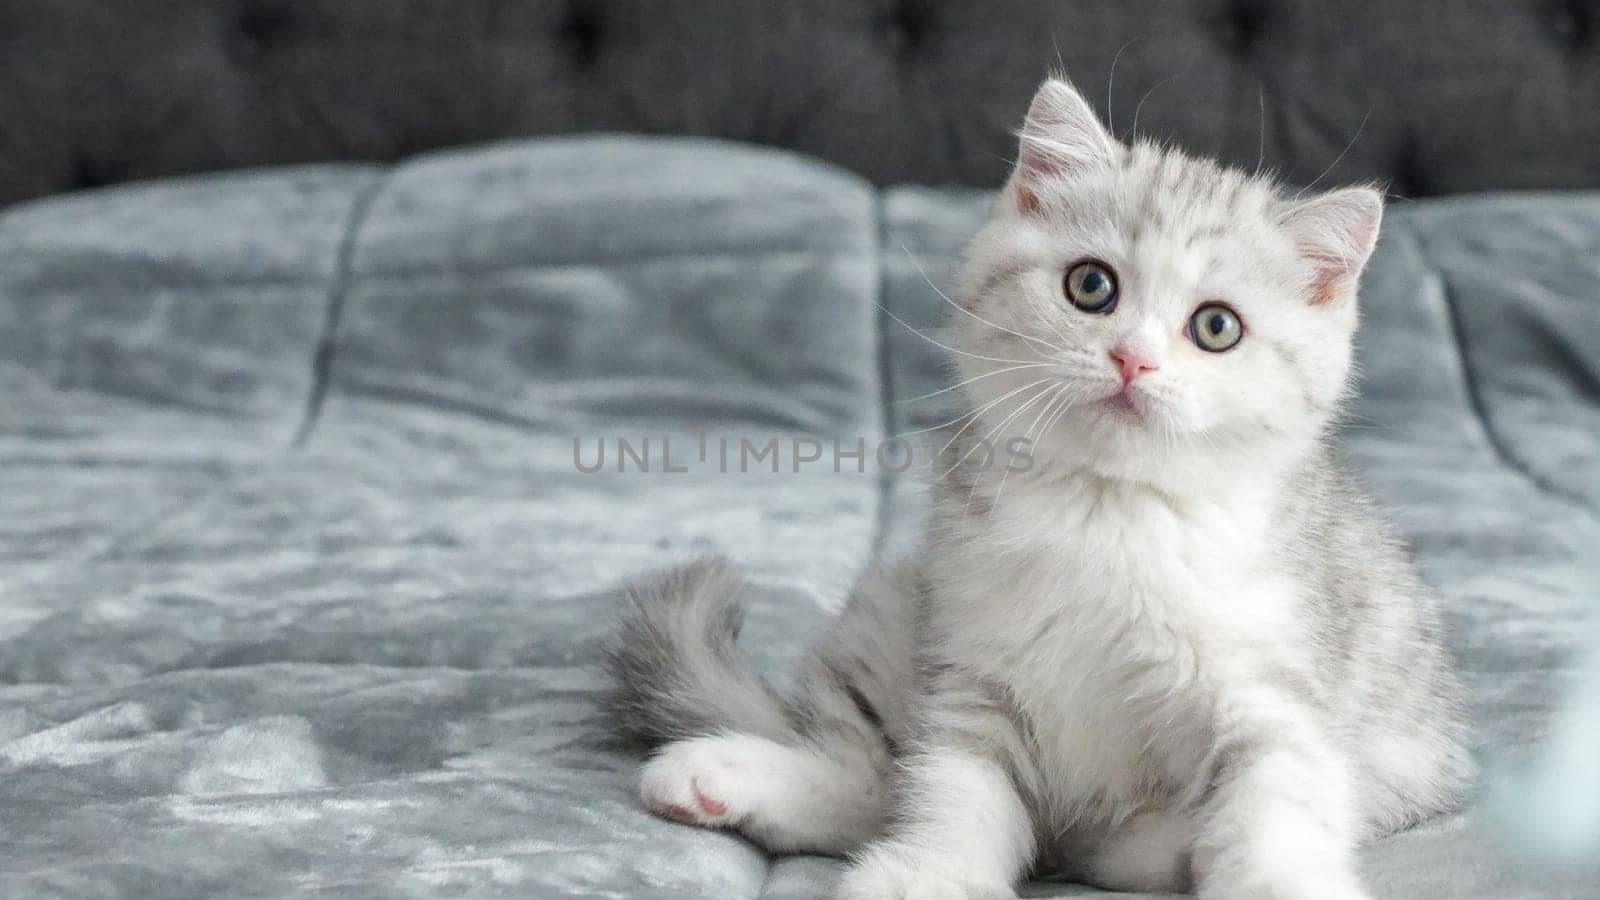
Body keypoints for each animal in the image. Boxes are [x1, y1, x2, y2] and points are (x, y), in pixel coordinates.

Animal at [611, 75, 1472, 896]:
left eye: (1216, 327)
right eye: (1092, 286)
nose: (1132, 359)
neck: (1107, 513)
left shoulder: (1275, 689)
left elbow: (1276, 806)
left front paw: (1269, 881)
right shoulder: (973, 672)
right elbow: (953, 788)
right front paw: (933, 875)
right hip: (895, 602)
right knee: (872, 781)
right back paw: (722, 774)